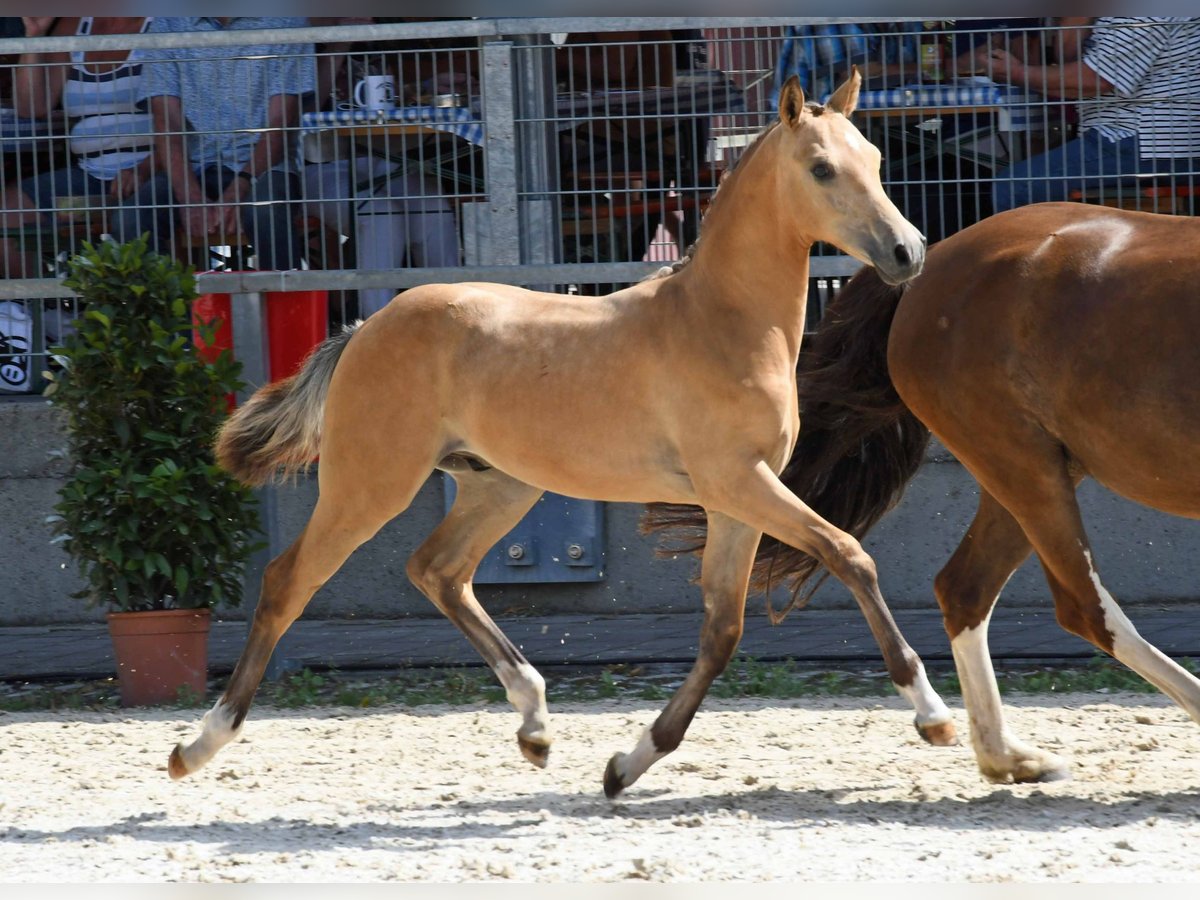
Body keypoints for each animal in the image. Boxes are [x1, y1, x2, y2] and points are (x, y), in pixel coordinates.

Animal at [169, 72, 955, 801]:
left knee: (438, 570)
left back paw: (536, 724)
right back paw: (199, 745)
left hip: (500, 486)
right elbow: (849, 555)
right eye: (822, 168)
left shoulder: (734, 501)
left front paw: (626, 765)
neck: (720, 322)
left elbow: (722, 629)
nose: (908, 251)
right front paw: (934, 715)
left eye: (876, 158)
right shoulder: (737, 481)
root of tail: (365, 328)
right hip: (371, 483)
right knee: (288, 581)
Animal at [657, 200, 1200, 787]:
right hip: (1022, 463)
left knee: (966, 589)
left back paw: (1008, 757)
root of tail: (931, 261)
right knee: (1079, 605)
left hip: (1028, 469)